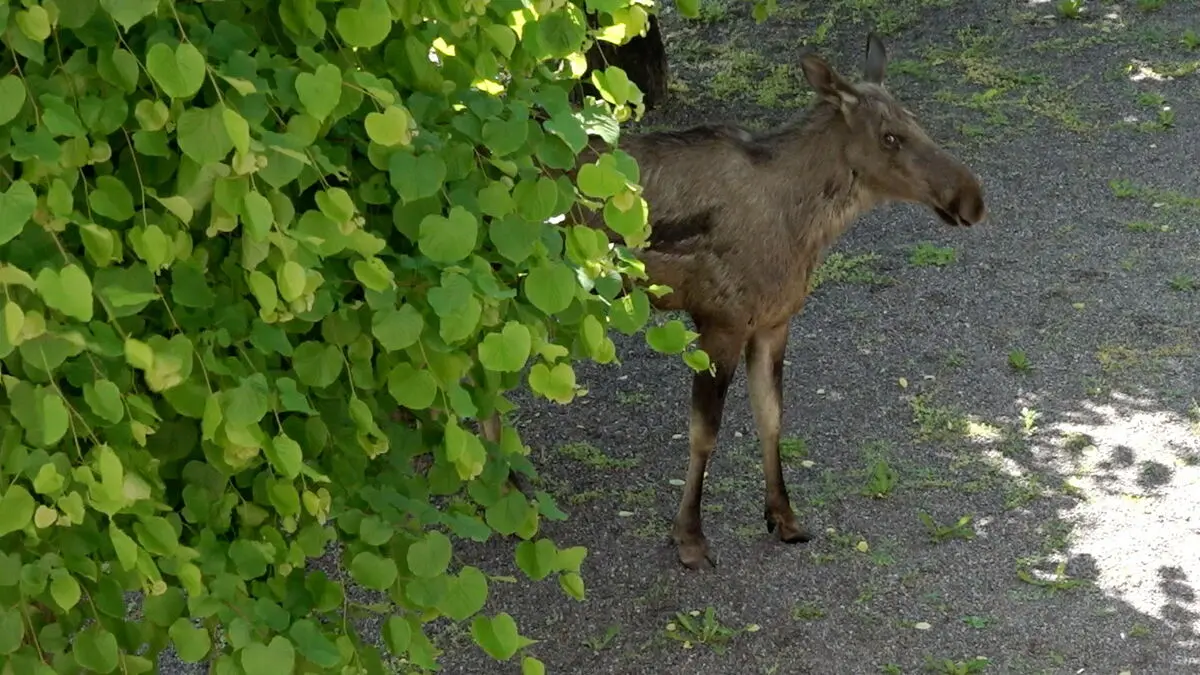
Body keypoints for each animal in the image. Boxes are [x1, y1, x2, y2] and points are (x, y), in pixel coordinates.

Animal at [476, 33, 987, 569]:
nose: (972, 198)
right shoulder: (719, 320)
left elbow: (771, 417)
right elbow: (705, 433)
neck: (807, 228)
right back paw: (506, 490)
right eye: (889, 137)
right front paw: (690, 537)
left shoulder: (773, 322)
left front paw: (784, 516)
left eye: (916, 121)